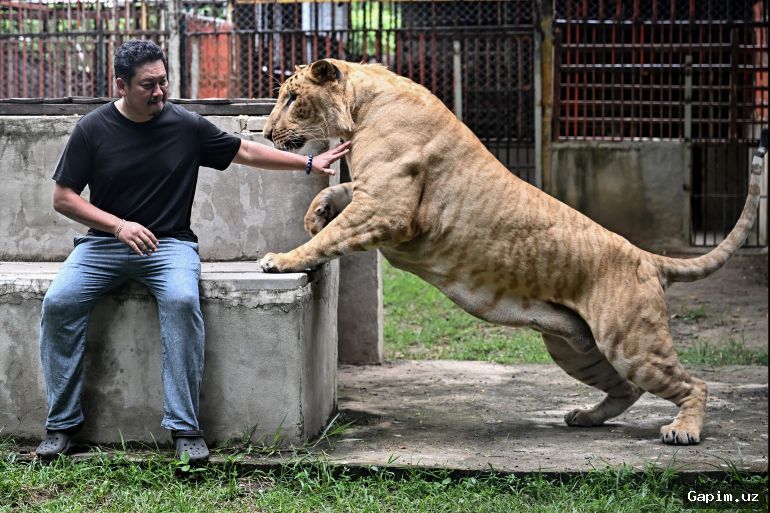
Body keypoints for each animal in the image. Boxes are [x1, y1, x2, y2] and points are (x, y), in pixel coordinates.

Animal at [260, 58, 768, 445]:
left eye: (291, 98)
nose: (264, 134)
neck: (364, 102)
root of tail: (648, 257)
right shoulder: (374, 196)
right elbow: (335, 198)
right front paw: (314, 214)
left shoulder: (389, 208)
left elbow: (332, 236)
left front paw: (282, 258)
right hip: (574, 349)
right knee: (625, 388)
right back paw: (584, 417)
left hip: (631, 341)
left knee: (693, 383)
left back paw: (683, 431)